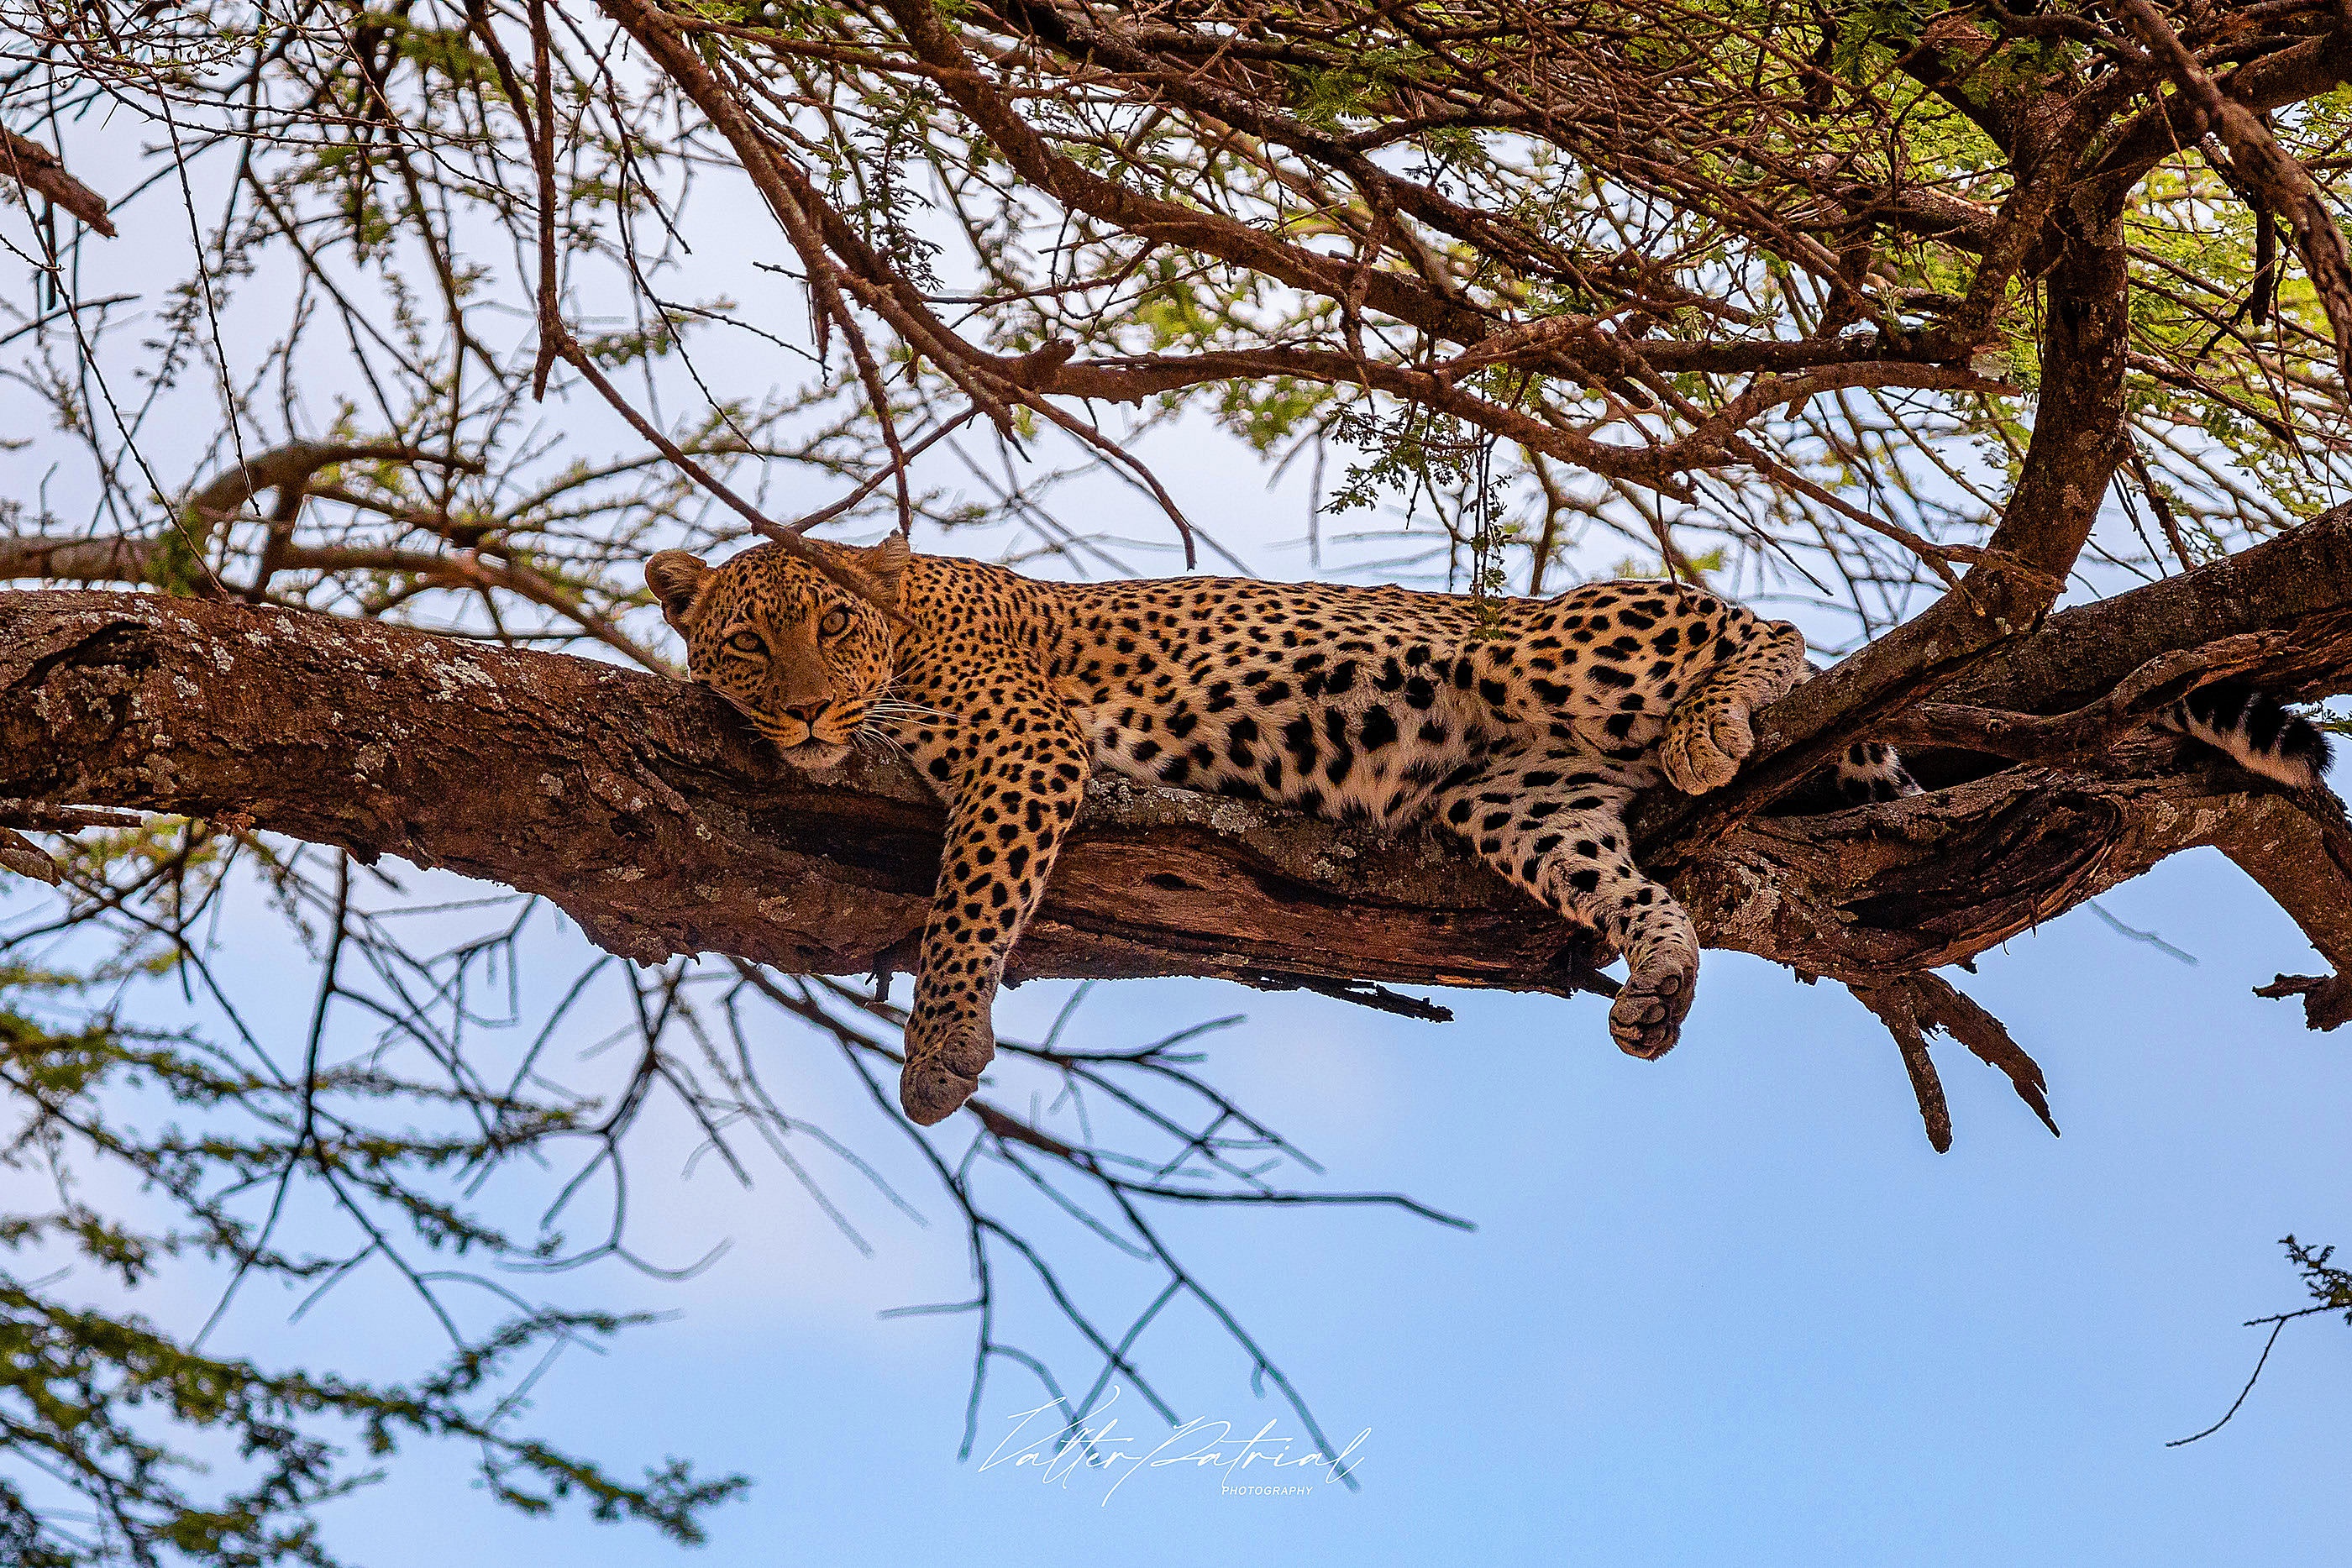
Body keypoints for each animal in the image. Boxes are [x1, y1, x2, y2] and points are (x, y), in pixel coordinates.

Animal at [646, 534, 1941, 1125]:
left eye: (832, 625)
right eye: (749, 642)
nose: (807, 710)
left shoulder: (1023, 744)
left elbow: (968, 902)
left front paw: (941, 1045)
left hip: (1539, 645)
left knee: (1764, 627)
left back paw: (1719, 717)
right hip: (1519, 797)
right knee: (1637, 884)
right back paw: (1658, 981)